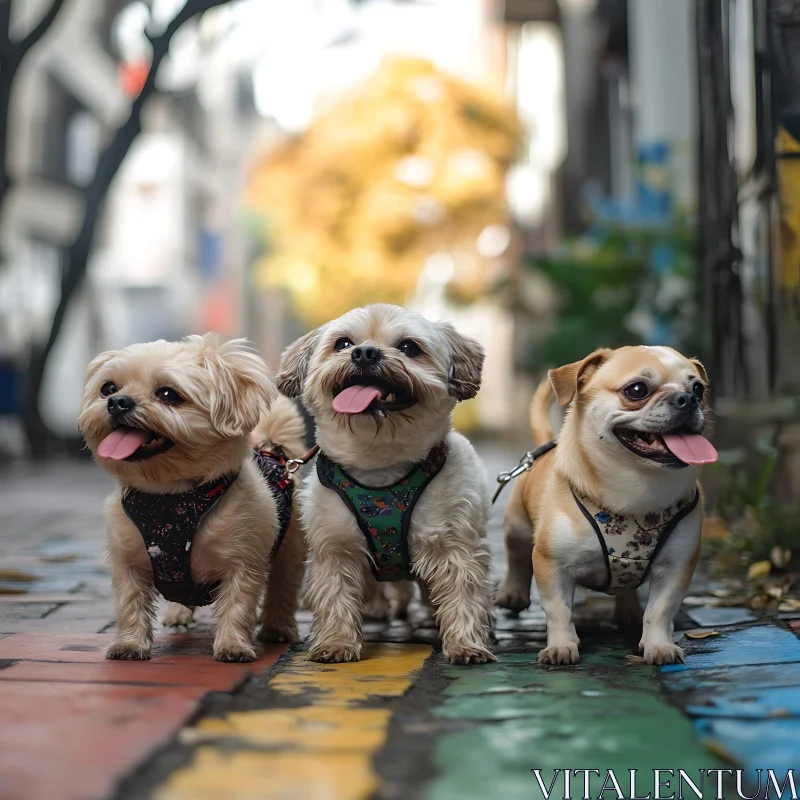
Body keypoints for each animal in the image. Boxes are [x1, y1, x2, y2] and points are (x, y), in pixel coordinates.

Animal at [79, 332, 306, 664]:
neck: (171, 496)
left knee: (283, 590)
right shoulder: (128, 563)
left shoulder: (244, 561)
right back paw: (178, 613)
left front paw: (233, 646)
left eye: (168, 394)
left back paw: (278, 628)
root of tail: (269, 449)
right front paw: (129, 645)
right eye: (108, 388)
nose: (117, 402)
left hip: (289, 551)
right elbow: (130, 604)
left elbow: (238, 605)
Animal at [278, 304, 496, 664]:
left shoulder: (453, 546)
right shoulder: (336, 548)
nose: (364, 352)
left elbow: (462, 595)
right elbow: (336, 596)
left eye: (409, 347)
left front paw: (465, 644)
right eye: (343, 343)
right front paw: (336, 643)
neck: (379, 464)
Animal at [500, 346, 720, 664]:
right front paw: (561, 646)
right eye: (637, 390)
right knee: (516, 557)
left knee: (627, 588)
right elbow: (559, 611)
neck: (637, 489)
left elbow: (660, 611)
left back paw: (628, 611)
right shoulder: (551, 565)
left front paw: (658, 645)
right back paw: (513, 594)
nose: (687, 398)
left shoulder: (676, 569)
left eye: (698, 389)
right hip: (516, 526)